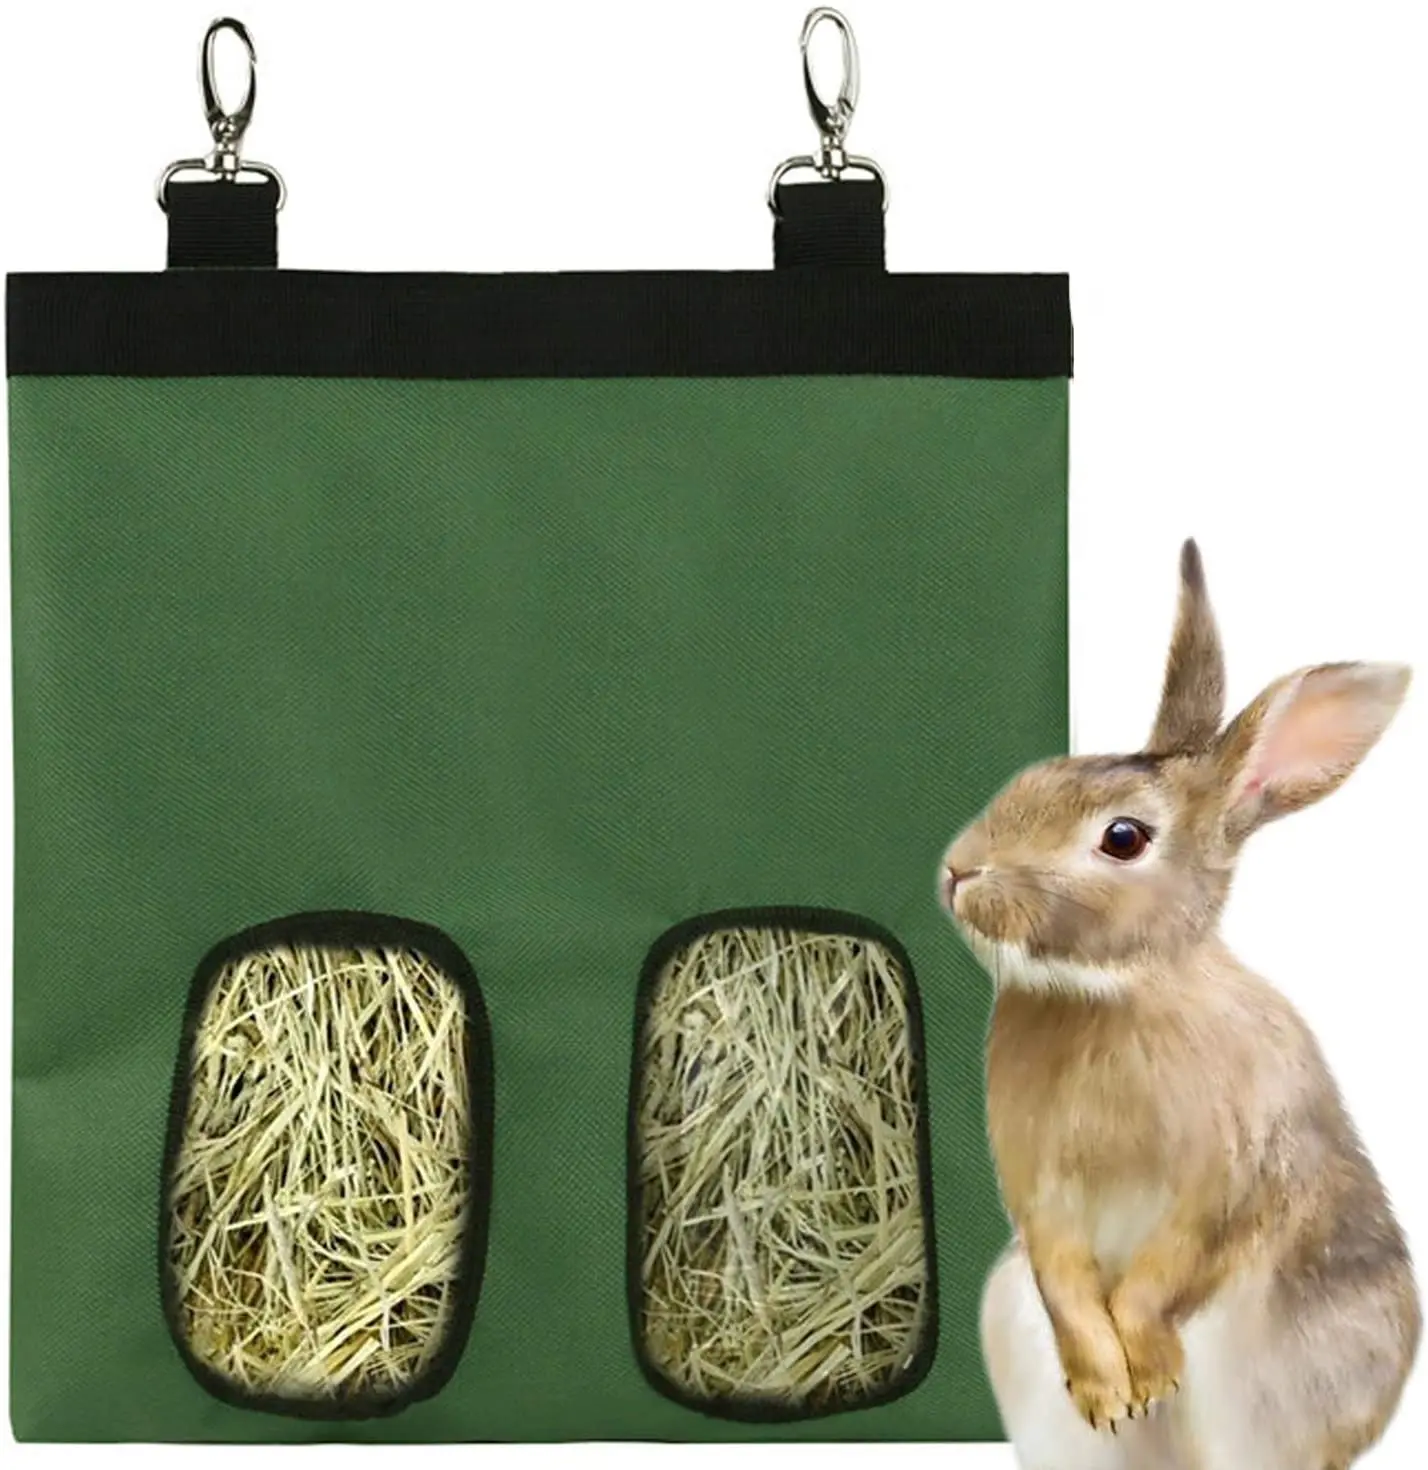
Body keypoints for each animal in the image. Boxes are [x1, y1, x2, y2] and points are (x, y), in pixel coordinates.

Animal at [939, 540, 1420, 1470]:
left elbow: (1166, 1270)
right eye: (1041, 775)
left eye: (1123, 838)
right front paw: (1108, 1389)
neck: (1113, 994)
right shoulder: (1041, 1193)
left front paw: (1147, 1370)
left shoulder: (1227, 1176)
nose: (958, 871)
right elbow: (1067, 1277)